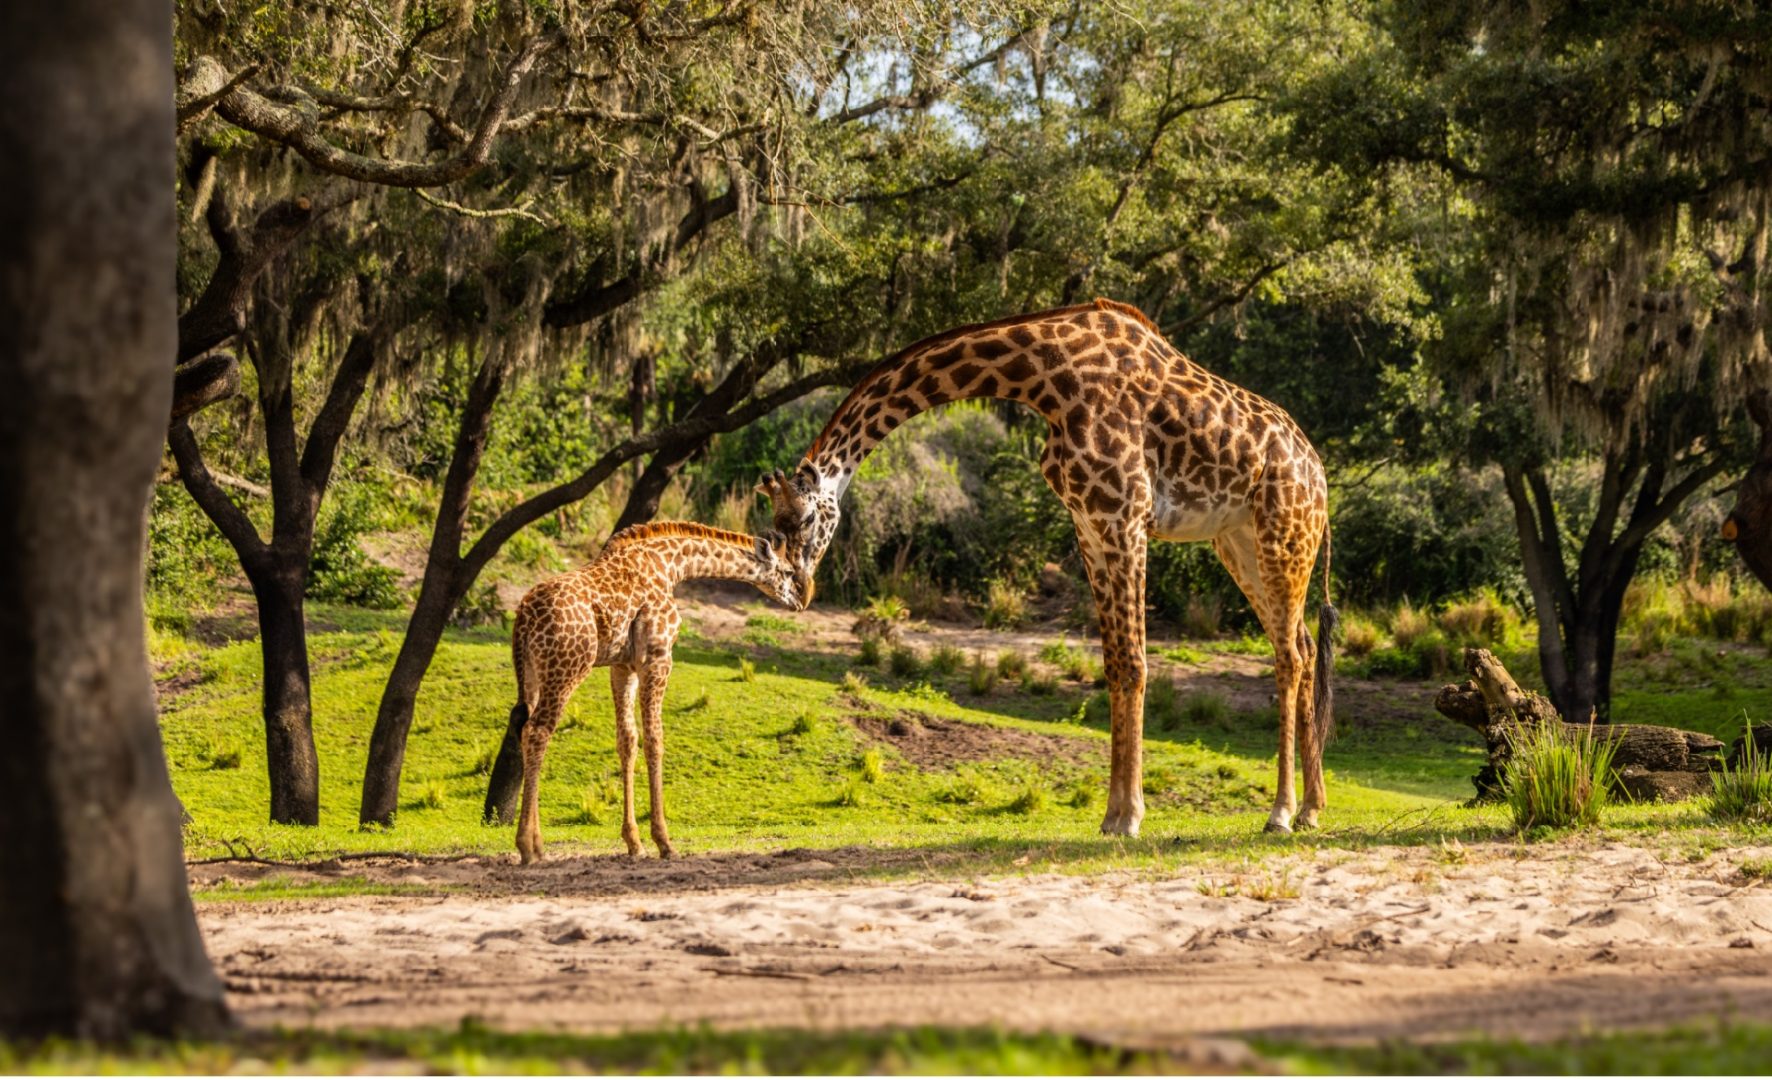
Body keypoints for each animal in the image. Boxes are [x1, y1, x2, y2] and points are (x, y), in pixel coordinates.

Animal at [508, 522, 806, 864]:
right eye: (787, 571)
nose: (798, 601)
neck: (672, 566)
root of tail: (524, 616)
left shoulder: (623, 666)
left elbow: (627, 740)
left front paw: (633, 843)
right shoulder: (659, 657)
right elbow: (655, 740)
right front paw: (664, 842)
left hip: (531, 674)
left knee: (525, 729)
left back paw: (538, 844)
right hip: (568, 668)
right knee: (538, 731)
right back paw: (528, 847)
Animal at [759, 298, 1337, 837]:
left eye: (805, 517)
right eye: (774, 524)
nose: (799, 591)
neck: (1044, 379)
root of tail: (1319, 474)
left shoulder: (1125, 516)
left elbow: (1135, 663)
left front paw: (1130, 817)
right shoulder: (1089, 524)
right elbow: (1114, 666)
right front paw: (1111, 815)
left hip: (1282, 532)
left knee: (1288, 655)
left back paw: (1281, 813)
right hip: (1238, 542)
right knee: (1305, 646)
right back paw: (1312, 808)